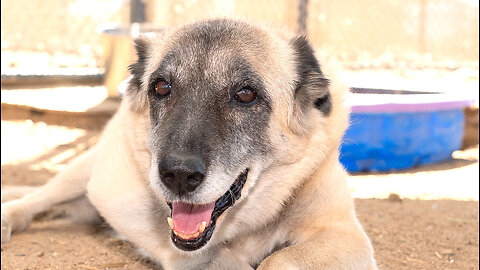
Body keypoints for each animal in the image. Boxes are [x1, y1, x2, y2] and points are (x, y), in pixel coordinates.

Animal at [1, 18, 378, 268]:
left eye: (246, 94)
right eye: (161, 87)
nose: (178, 176)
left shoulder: (345, 235)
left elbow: (279, 260)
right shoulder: (190, 257)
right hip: (83, 173)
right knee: (35, 199)